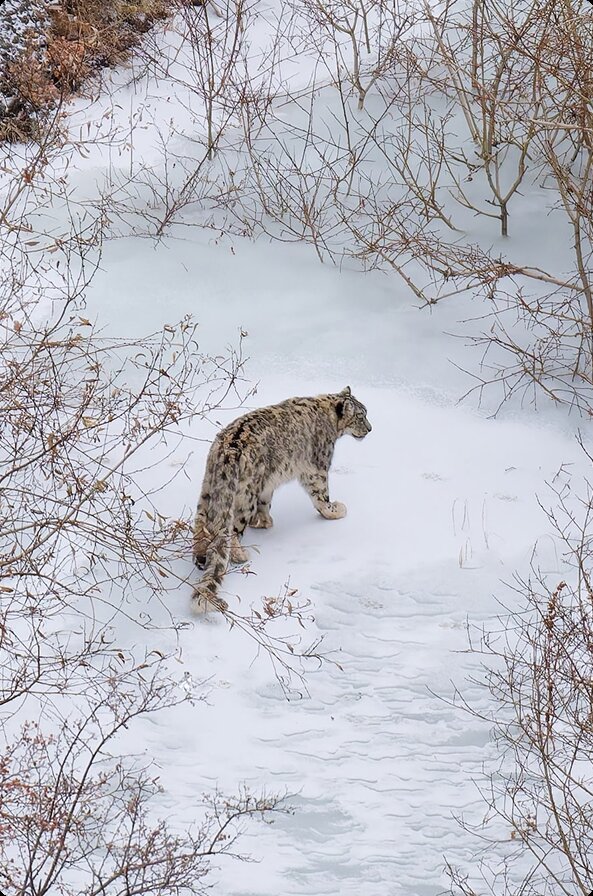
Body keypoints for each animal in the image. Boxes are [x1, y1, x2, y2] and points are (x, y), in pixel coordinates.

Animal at [192, 386, 371, 612]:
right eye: (360, 416)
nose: (370, 429)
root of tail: (227, 451)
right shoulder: (317, 468)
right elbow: (321, 496)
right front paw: (335, 510)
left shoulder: (267, 484)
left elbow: (266, 502)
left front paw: (264, 522)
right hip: (245, 496)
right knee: (231, 529)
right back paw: (240, 555)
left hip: (208, 488)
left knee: (201, 522)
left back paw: (200, 553)